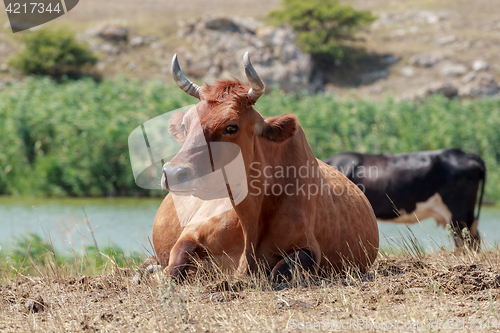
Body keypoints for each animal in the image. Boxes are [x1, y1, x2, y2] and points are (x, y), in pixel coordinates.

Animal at [148, 53, 378, 280]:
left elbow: (280, 272)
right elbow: (176, 262)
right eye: (185, 125)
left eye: (231, 127)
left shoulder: (309, 248)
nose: (173, 172)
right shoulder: (191, 232)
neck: (249, 220)